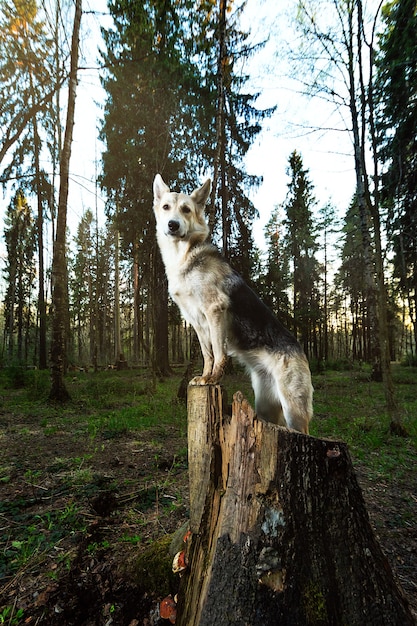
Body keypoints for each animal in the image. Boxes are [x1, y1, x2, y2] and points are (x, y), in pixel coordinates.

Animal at [153, 173, 312, 432]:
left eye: (186, 209)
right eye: (166, 207)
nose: (172, 225)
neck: (184, 256)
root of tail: (299, 348)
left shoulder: (215, 311)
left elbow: (219, 353)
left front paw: (214, 379)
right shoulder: (196, 322)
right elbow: (208, 355)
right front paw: (204, 377)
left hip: (293, 409)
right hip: (265, 407)